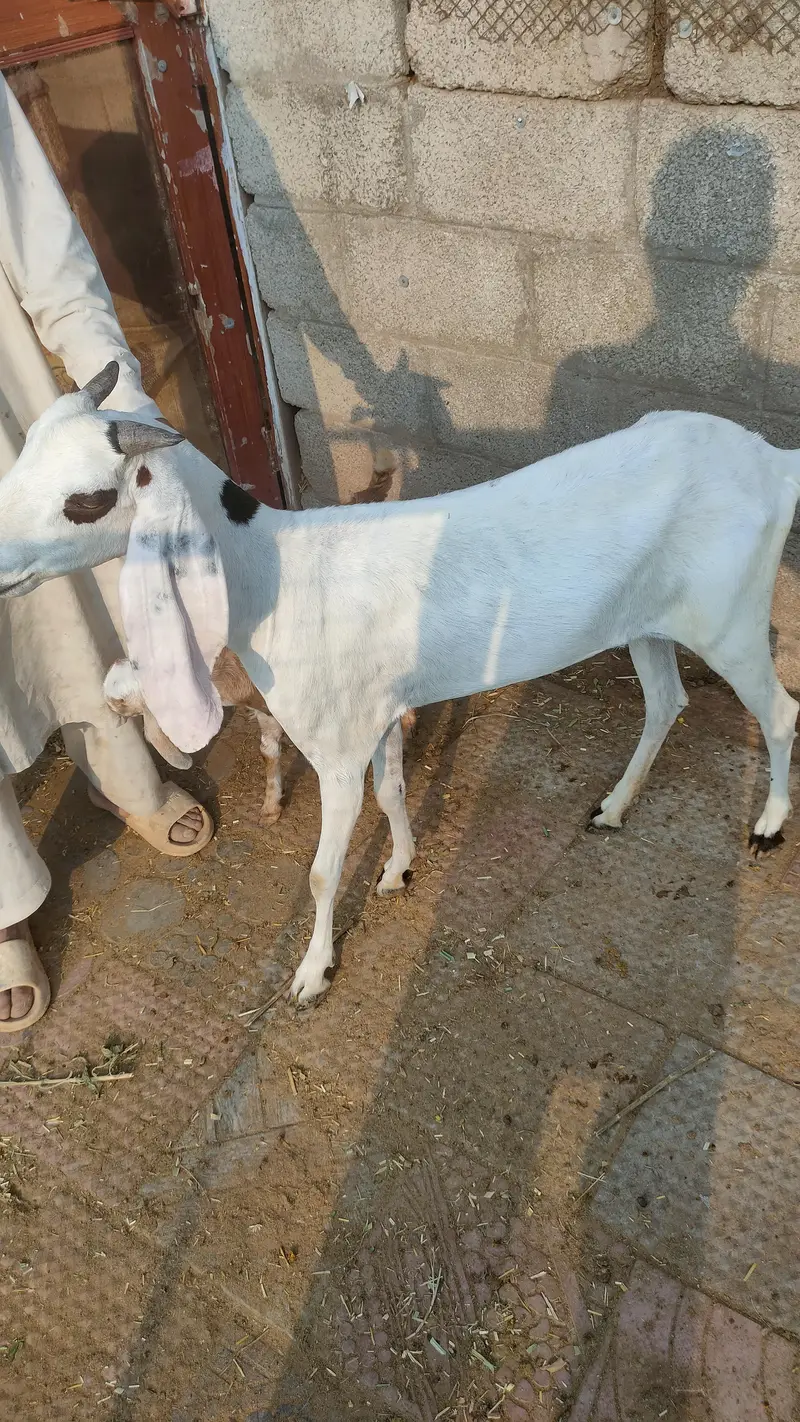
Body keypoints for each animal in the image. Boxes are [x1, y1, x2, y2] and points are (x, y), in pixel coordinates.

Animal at [0, 361, 798, 1005]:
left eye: (86, 500)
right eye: (24, 458)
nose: (0, 560)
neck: (275, 575)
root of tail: (774, 461)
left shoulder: (336, 748)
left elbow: (324, 873)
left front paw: (311, 975)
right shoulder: (378, 715)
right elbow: (392, 793)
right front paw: (399, 871)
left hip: (730, 619)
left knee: (780, 713)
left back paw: (767, 826)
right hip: (648, 622)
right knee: (667, 702)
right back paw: (614, 807)